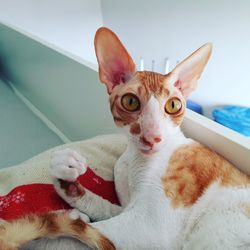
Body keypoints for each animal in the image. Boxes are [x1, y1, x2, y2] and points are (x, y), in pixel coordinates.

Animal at [0, 27, 250, 250]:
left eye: (173, 105)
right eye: (130, 102)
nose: (153, 136)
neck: (133, 159)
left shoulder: (149, 226)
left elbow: (70, 235)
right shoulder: (128, 208)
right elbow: (99, 210)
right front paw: (67, 184)